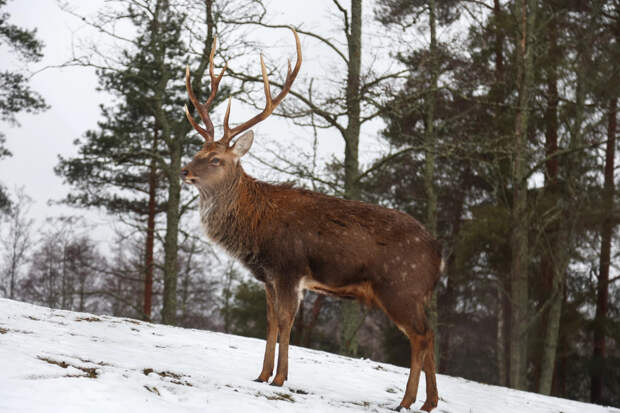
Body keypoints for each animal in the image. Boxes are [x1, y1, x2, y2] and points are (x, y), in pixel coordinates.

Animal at [182, 28, 444, 408]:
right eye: (198, 150)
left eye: (216, 159)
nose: (185, 171)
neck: (254, 227)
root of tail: (440, 254)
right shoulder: (268, 277)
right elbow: (270, 322)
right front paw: (261, 374)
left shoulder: (289, 267)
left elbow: (286, 321)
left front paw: (279, 378)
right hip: (417, 294)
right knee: (431, 334)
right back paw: (429, 402)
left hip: (401, 286)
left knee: (421, 336)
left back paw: (407, 401)